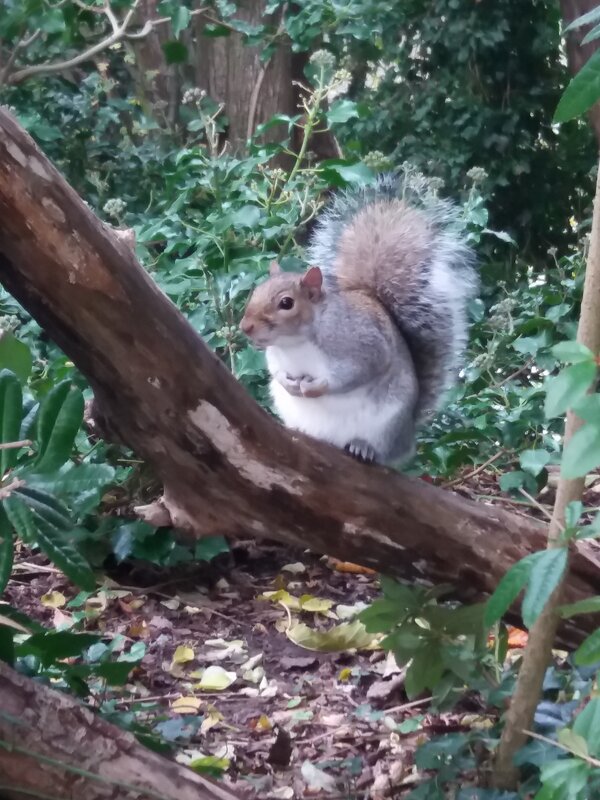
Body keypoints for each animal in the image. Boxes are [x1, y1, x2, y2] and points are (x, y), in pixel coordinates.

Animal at [239, 172, 478, 466]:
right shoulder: (275, 355)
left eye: (286, 303)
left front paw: (317, 386)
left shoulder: (361, 343)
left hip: (387, 424)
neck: (295, 343)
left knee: (386, 452)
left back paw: (365, 448)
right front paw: (289, 382)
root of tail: (408, 434)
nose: (245, 327)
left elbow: (359, 371)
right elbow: (275, 371)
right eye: (256, 292)